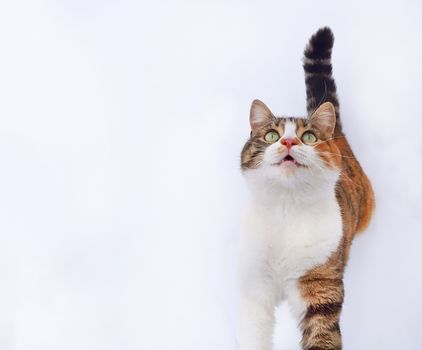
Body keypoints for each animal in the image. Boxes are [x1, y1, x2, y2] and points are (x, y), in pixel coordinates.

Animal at [239, 27, 374, 350]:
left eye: (310, 137)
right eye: (271, 135)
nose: (289, 141)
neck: (286, 209)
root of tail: (337, 133)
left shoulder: (321, 286)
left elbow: (322, 333)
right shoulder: (253, 286)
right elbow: (252, 333)